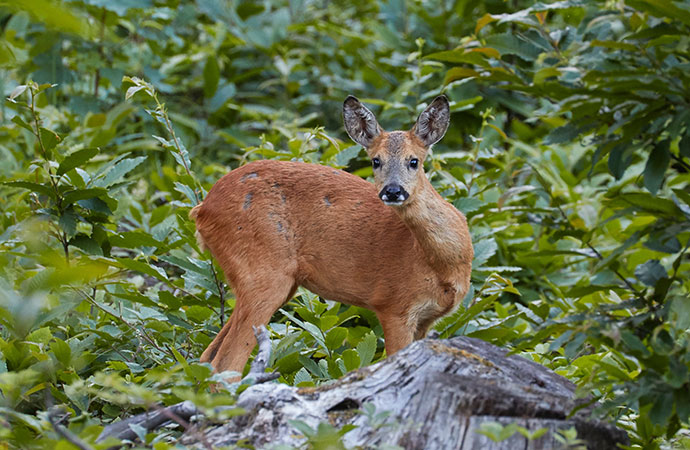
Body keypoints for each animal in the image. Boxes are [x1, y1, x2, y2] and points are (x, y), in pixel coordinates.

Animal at [191, 95, 476, 376]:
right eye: (376, 161)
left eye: (414, 161)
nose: (393, 191)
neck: (441, 264)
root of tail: (202, 209)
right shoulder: (393, 304)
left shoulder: (426, 319)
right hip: (263, 272)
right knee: (225, 362)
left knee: (208, 356)